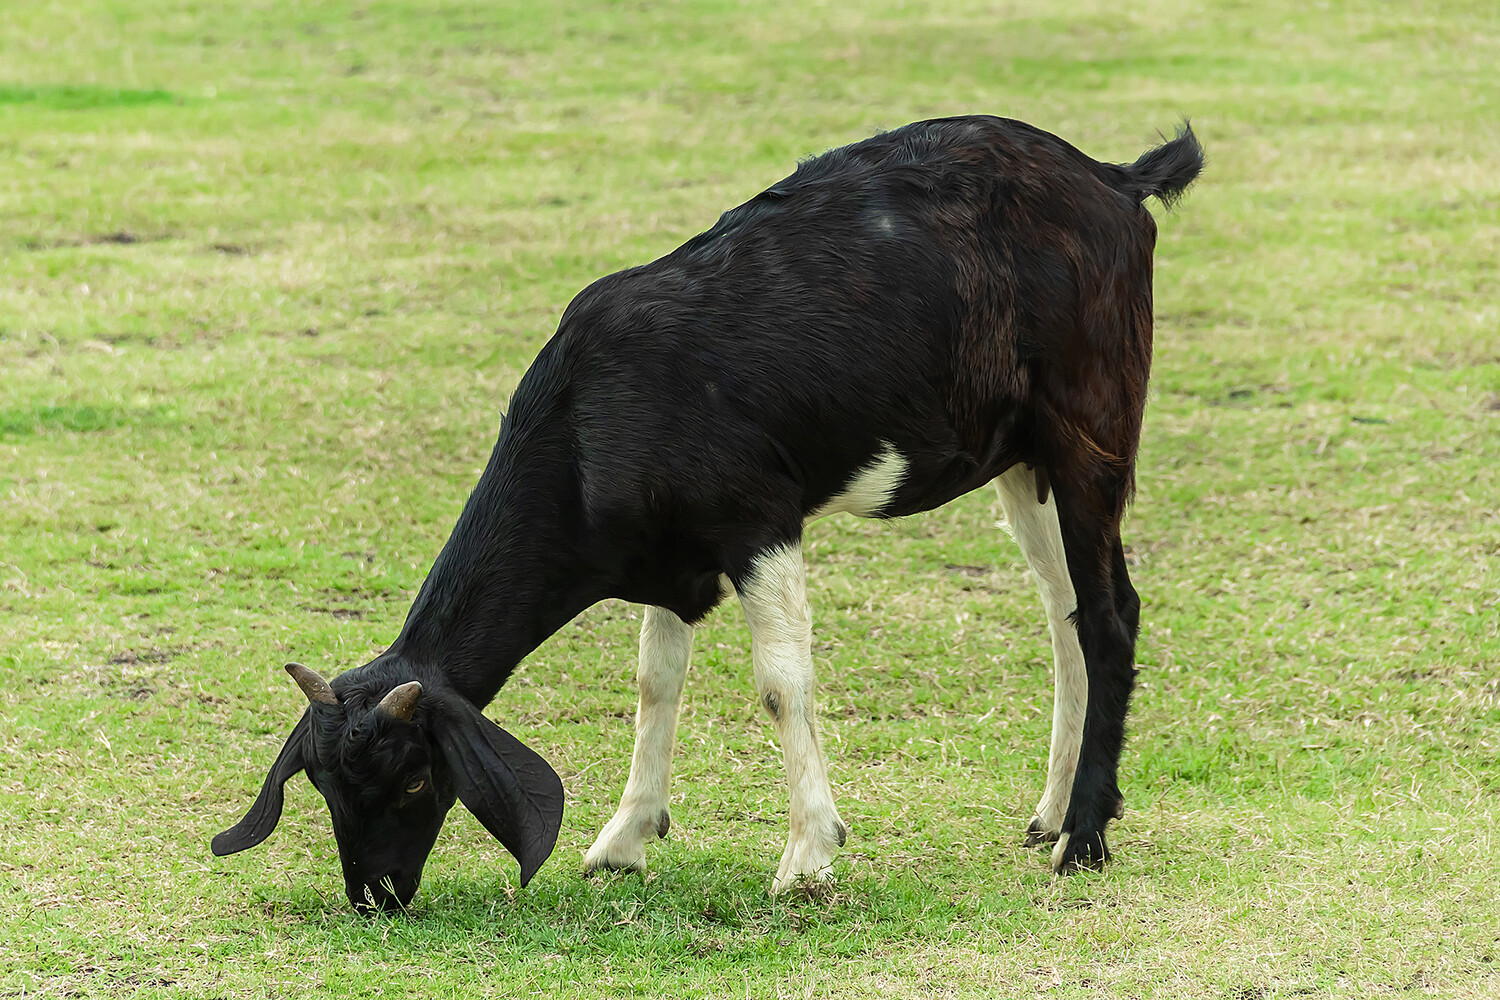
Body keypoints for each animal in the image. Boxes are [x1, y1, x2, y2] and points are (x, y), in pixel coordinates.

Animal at [211, 113, 1200, 911]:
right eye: (324, 786)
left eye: (417, 781)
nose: (374, 894)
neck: (591, 416)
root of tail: (1114, 179)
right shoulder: (669, 560)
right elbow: (658, 681)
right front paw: (624, 839)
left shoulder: (757, 520)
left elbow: (779, 683)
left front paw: (808, 856)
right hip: (1021, 459)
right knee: (1064, 615)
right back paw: (1051, 814)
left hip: (1091, 426)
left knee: (1109, 614)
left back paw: (1085, 839)